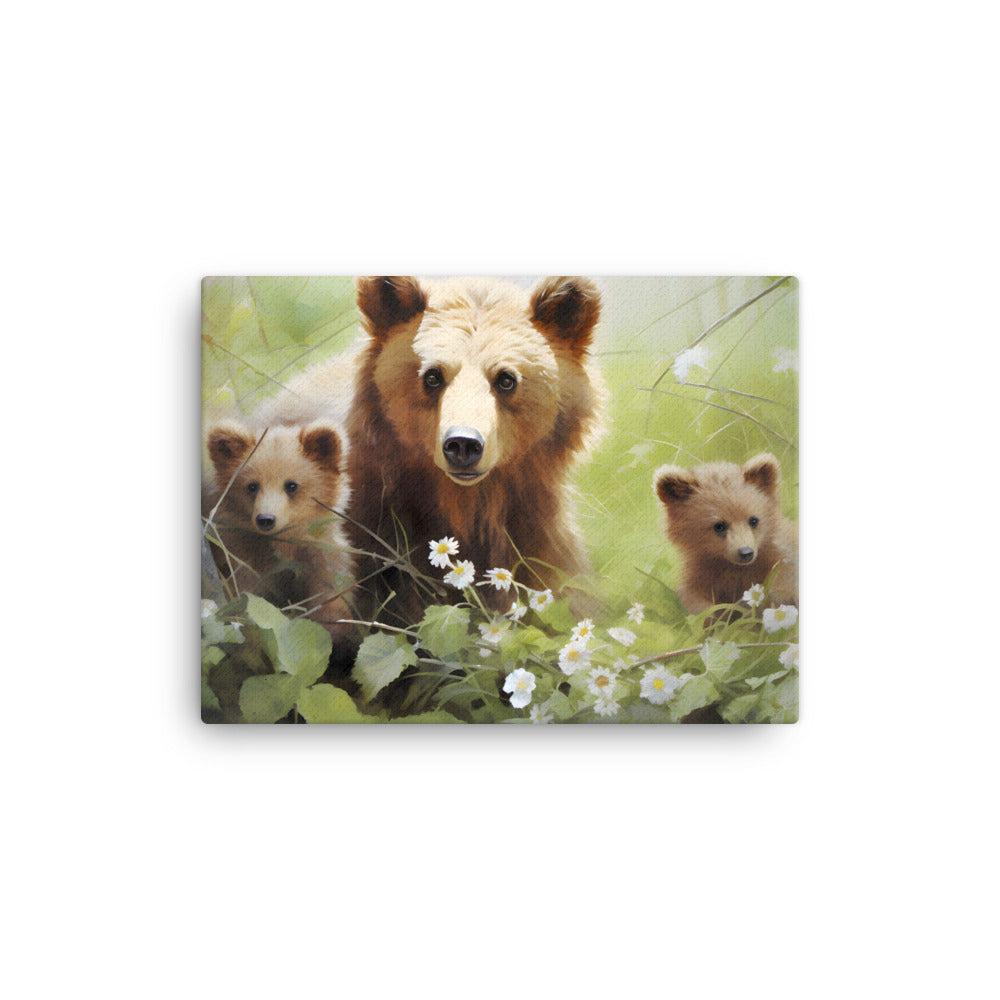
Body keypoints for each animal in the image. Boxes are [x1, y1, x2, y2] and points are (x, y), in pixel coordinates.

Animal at [203, 420, 355, 634]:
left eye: (291, 485)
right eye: (252, 486)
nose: (266, 519)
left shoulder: (322, 559)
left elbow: (330, 600)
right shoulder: (244, 559)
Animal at [653, 453, 797, 614]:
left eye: (753, 520)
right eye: (719, 526)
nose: (746, 552)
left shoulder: (777, 560)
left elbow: (781, 588)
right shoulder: (702, 571)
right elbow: (696, 600)